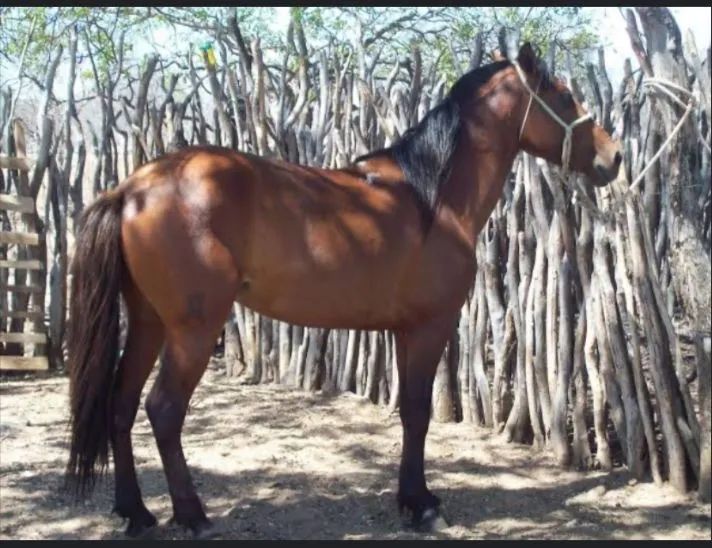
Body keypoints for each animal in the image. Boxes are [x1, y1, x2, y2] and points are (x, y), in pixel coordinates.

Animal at [65, 43, 621, 538]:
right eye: (562, 95)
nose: (613, 157)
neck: (432, 199)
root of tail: (131, 189)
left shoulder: (403, 331)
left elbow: (409, 413)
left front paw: (411, 499)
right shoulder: (430, 327)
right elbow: (419, 412)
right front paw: (422, 506)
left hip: (148, 322)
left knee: (120, 404)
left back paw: (136, 513)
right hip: (192, 331)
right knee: (163, 410)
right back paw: (192, 515)